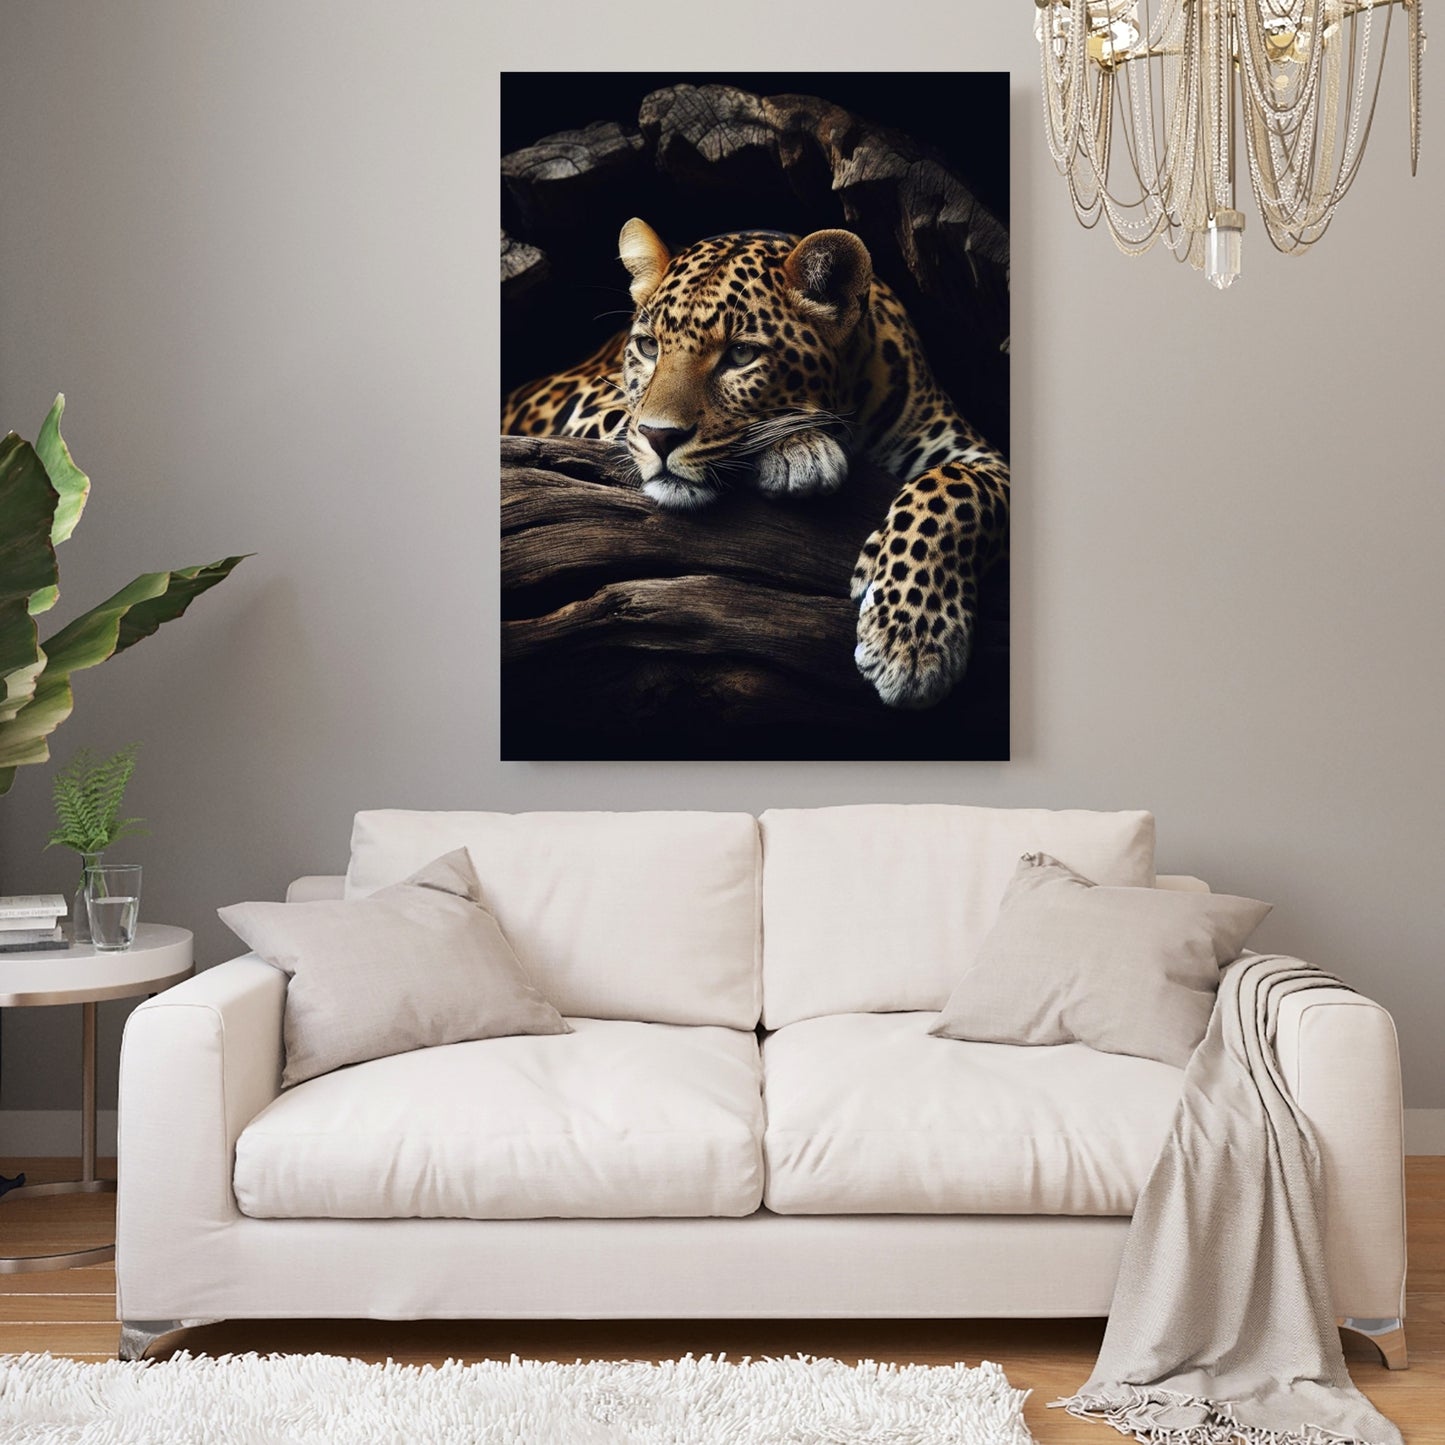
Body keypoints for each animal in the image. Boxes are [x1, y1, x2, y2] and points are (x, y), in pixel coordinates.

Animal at [501, 218, 1009, 709]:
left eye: (741, 355)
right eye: (649, 347)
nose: (661, 437)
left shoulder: (977, 455)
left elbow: (952, 492)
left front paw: (912, 641)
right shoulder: (581, 406)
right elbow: (627, 418)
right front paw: (799, 447)